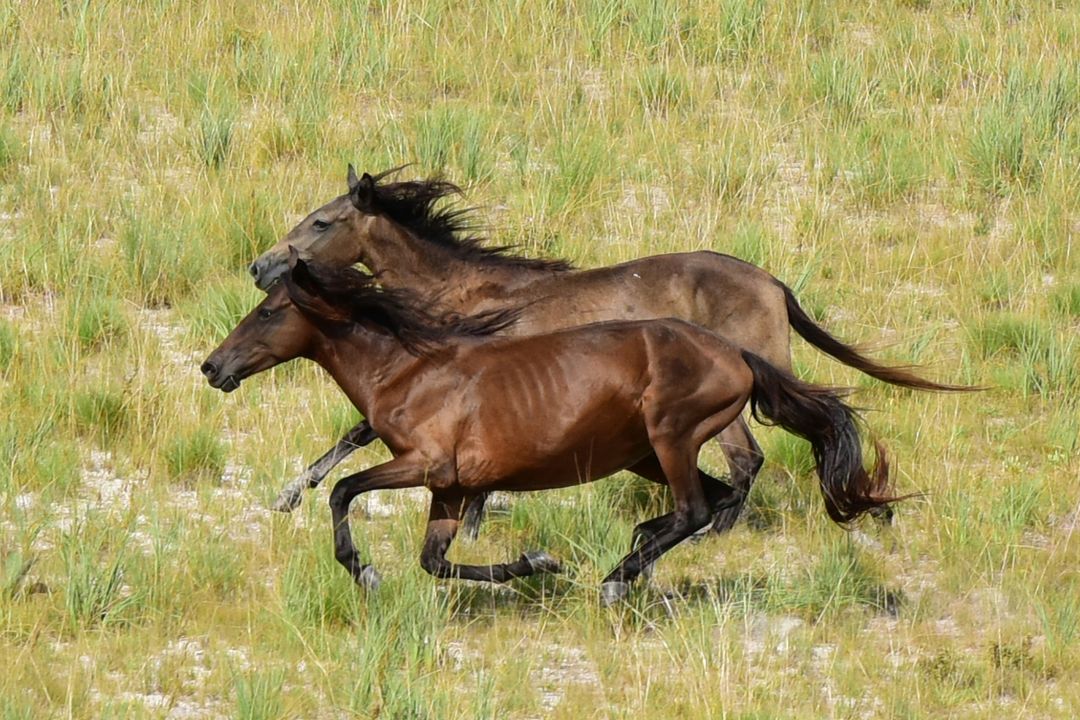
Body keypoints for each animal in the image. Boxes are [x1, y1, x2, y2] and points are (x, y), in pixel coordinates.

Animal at [201, 254, 899, 604]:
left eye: (268, 314)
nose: (212, 367)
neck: (409, 368)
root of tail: (737, 354)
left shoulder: (425, 466)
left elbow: (346, 490)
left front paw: (362, 570)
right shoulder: (450, 489)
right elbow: (435, 561)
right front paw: (536, 563)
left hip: (669, 437)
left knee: (697, 508)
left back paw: (618, 577)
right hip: (642, 453)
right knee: (712, 499)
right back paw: (635, 558)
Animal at [248, 167, 966, 533]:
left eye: (320, 221)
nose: (262, 266)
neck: (467, 293)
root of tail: (771, 281)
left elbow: (358, 434)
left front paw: (290, 495)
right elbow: (359, 435)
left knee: (755, 457)